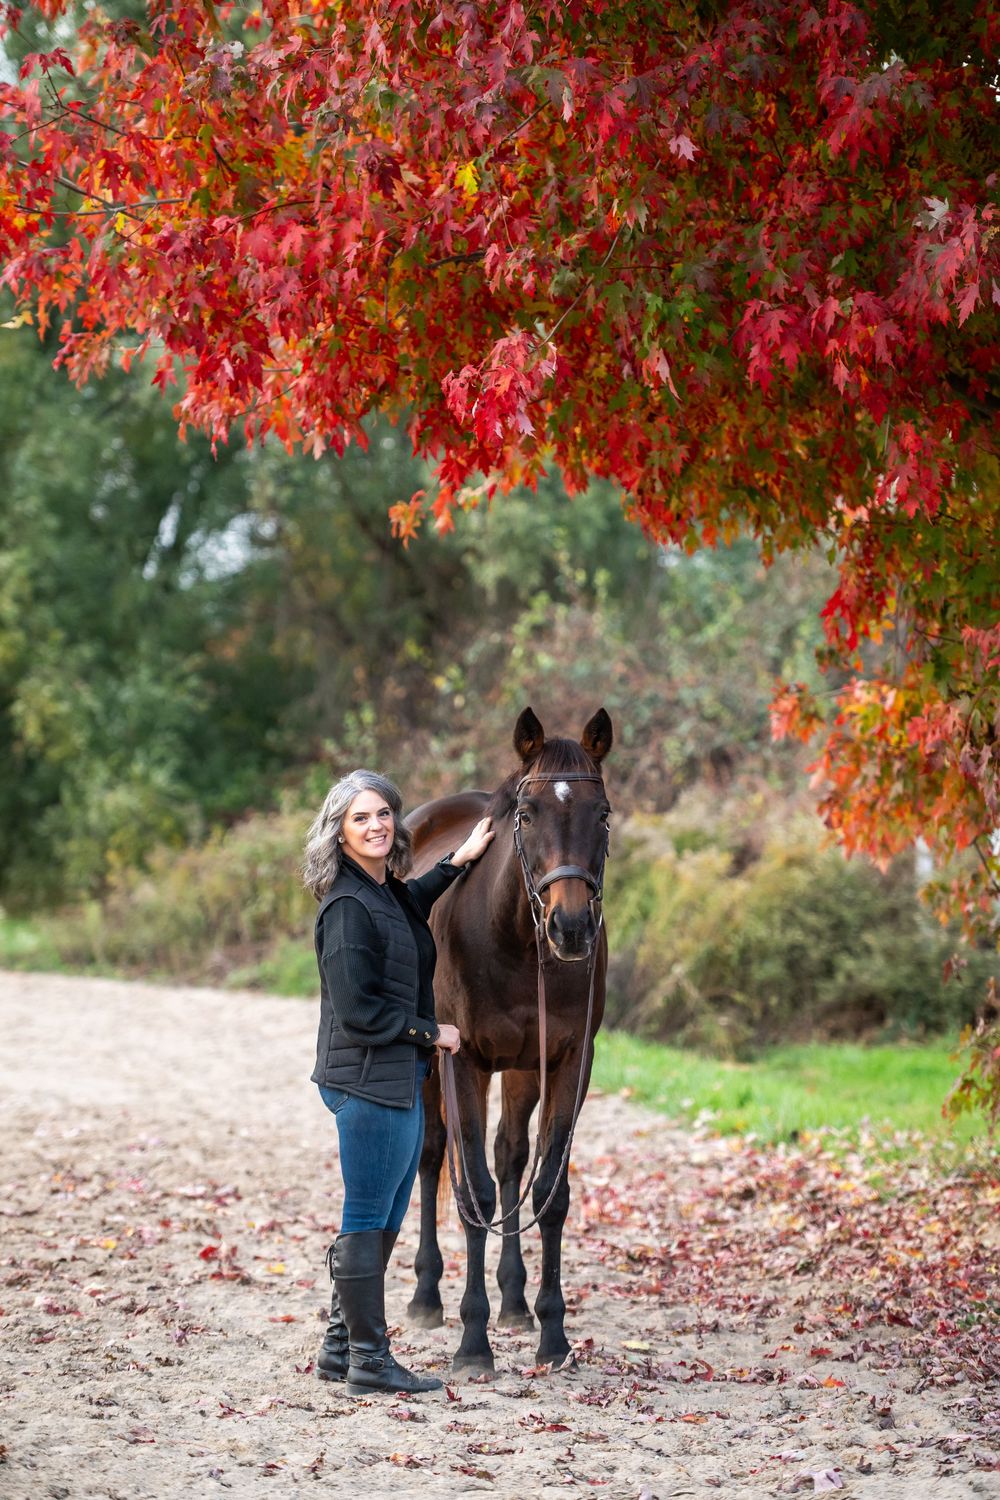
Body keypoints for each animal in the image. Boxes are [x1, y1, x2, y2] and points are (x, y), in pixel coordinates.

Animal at [404, 705, 613, 1374]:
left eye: (603, 815)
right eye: (527, 814)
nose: (570, 928)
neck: (516, 941)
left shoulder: (568, 1063)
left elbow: (548, 1189)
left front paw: (553, 1333)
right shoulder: (462, 1060)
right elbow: (472, 1188)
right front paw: (473, 1343)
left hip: (521, 1070)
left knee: (510, 1157)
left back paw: (516, 1304)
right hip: (430, 1067)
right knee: (433, 1156)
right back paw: (425, 1295)